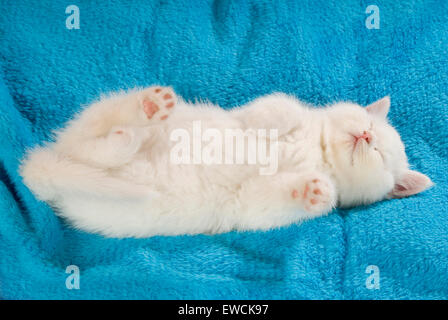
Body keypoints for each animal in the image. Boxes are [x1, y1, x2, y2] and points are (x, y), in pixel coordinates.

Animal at [19, 86, 432, 236]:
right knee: (90, 139)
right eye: (368, 125)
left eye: (379, 156)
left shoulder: (247, 206)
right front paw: (260, 125)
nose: (365, 136)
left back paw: (126, 139)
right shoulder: (285, 108)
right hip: (90, 126)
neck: (319, 152)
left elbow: (268, 204)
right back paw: (144, 111)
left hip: (100, 201)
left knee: (95, 155)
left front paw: (315, 191)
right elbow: (279, 108)